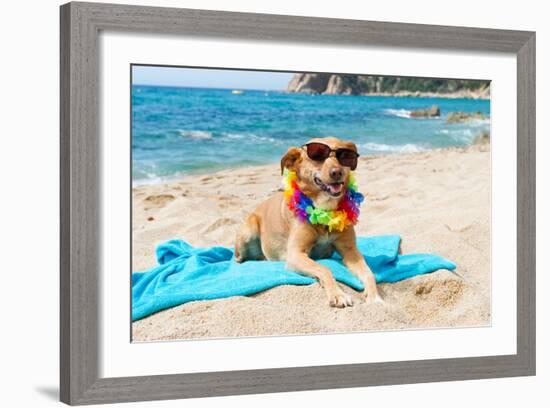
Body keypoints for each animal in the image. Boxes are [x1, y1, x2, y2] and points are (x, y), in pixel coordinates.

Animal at [235, 135, 382, 308]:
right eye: (317, 155)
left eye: (344, 156)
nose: (337, 172)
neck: (325, 210)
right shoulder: (295, 254)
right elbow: (324, 268)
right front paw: (338, 294)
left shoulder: (350, 251)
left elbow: (368, 273)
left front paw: (375, 297)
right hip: (248, 231)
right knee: (238, 258)